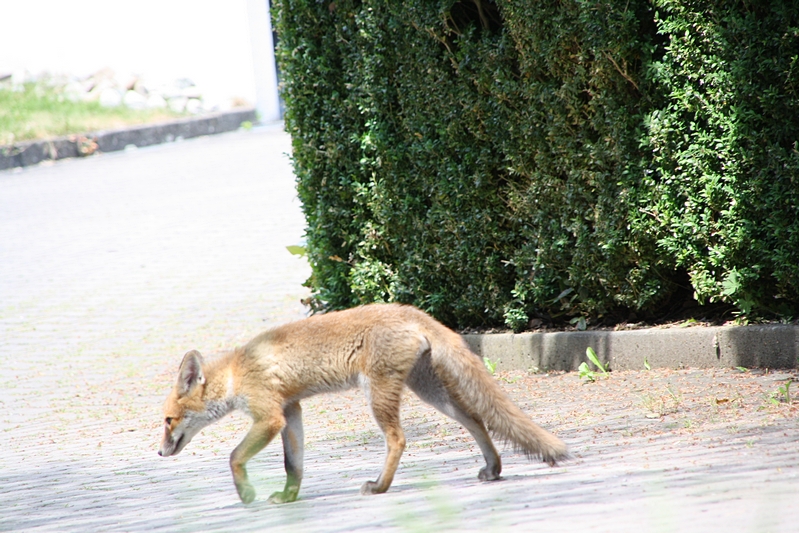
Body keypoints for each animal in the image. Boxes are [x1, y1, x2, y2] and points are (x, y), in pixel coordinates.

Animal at [158, 303, 568, 504]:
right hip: (429, 392)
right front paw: (289, 498)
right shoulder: (292, 410)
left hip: (379, 393)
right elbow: (294, 465)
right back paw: (493, 469)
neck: (237, 372)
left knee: (398, 439)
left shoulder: (270, 417)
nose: (160, 453)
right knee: (477, 419)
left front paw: (247, 495)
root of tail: (411, 310)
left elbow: (234, 457)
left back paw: (380, 486)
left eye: (167, 421)